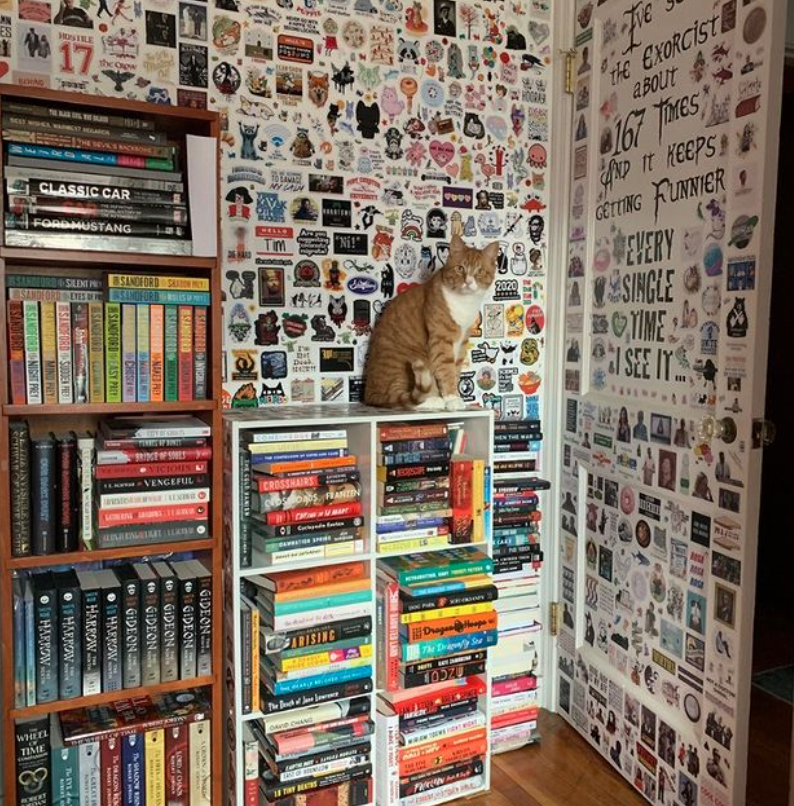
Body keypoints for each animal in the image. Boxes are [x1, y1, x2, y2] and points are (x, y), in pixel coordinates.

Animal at [364, 234, 496, 410]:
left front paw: (454, 396)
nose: (468, 281)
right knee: (402, 399)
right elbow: (446, 370)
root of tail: (369, 394)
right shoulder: (441, 340)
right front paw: (451, 398)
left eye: (479, 271)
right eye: (460, 268)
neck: (464, 302)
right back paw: (433, 400)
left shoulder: (462, 343)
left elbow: (455, 371)